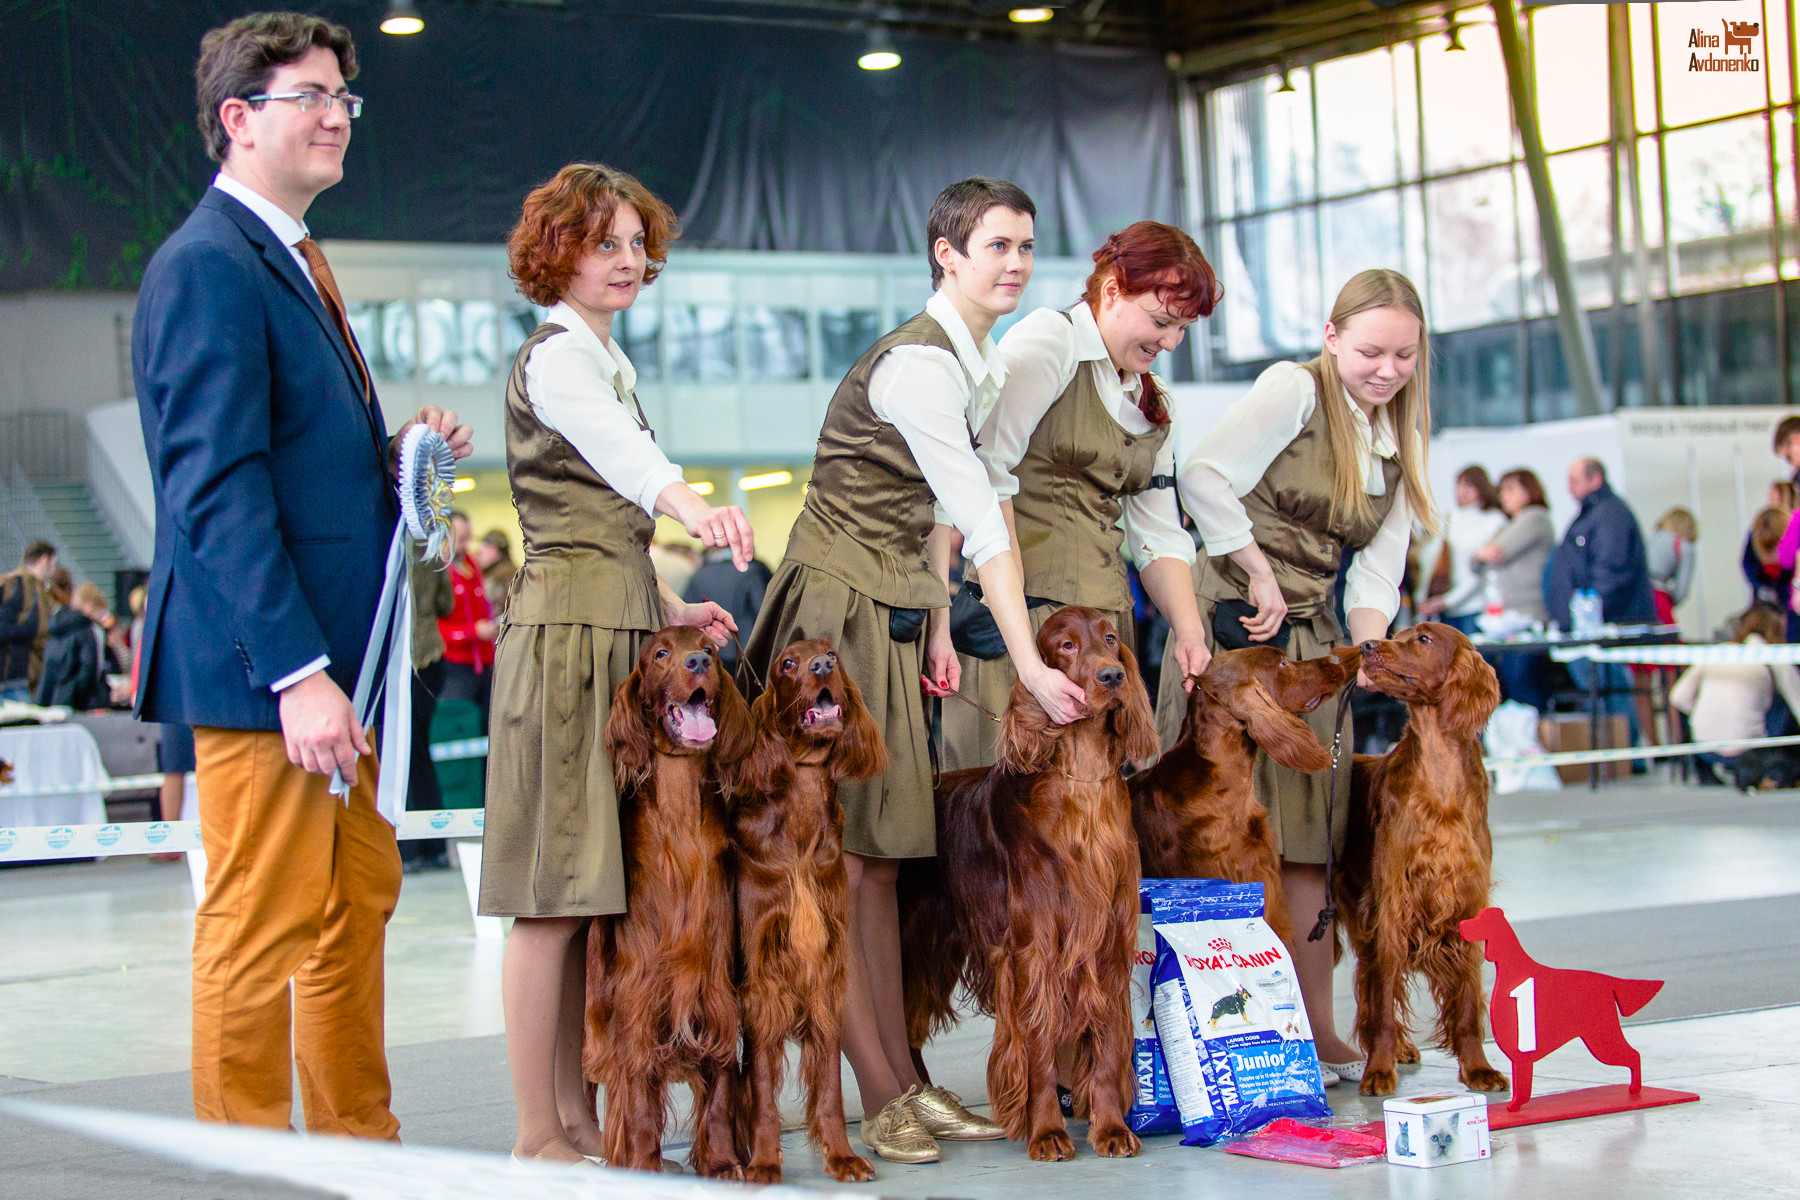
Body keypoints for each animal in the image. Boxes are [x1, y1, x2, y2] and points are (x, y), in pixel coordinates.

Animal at [586, 633, 756, 1180]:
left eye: (709, 648)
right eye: (661, 654)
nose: (698, 661)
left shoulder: (717, 987)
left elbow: (720, 1084)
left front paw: (722, 1163)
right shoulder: (637, 994)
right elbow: (638, 1093)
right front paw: (643, 1164)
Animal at [727, 636, 889, 1180]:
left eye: (832, 654)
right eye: (788, 664)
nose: (821, 667)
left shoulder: (826, 969)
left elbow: (831, 1086)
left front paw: (841, 1156)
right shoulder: (761, 978)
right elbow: (761, 1086)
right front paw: (763, 1162)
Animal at [900, 611, 1166, 1165]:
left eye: (1110, 638)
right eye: (1065, 646)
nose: (1113, 676)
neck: (1080, 784)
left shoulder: (1106, 941)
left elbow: (1107, 1044)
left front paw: (1110, 1128)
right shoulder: (1034, 949)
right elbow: (1039, 1047)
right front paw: (1046, 1133)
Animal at [1346, 626, 1512, 1101]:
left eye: (1422, 638)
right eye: (1394, 634)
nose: (1367, 645)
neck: (1439, 780)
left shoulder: (1466, 903)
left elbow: (1469, 1002)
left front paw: (1478, 1068)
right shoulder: (1393, 906)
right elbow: (1386, 996)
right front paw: (1377, 1071)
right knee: (1373, 986)